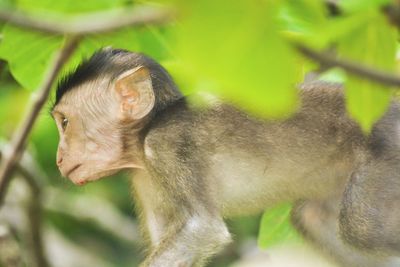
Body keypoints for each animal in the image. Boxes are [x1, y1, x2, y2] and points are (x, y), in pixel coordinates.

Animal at [50, 47, 400, 266]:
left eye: (65, 122)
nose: (58, 157)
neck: (146, 130)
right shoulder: (142, 178)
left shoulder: (169, 145)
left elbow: (203, 228)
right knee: (312, 218)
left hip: (388, 149)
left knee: (361, 228)